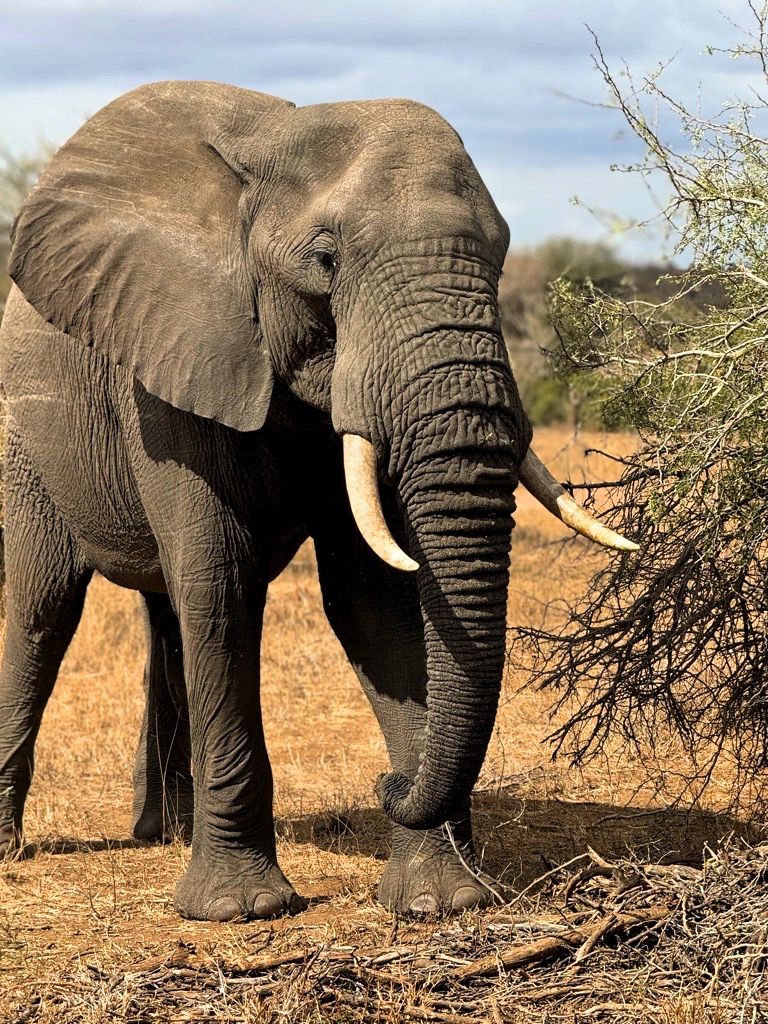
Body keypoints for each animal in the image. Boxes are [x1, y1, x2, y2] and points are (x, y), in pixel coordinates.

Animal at [0, 79, 638, 921]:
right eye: (327, 261)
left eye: (501, 255)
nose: (389, 784)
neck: (276, 137)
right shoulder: (171, 364)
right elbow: (224, 585)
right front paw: (240, 911)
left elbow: (376, 599)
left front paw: (442, 902)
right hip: (24, 443)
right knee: (46, 609)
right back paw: (16, 845)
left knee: (165, 616)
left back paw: (165, 832)